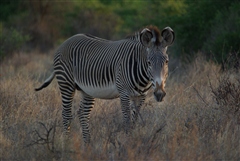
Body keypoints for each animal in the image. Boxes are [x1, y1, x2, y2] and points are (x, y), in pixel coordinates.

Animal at [35, 25, 174, 143]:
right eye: (149, 62)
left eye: (167, 61)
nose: (160, 94)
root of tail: (66, 41)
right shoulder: (124, 93)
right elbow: (127, 122)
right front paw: (127, 146)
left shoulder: (141, 96)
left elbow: (134, 122)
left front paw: (132, 144)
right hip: (66, 83)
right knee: (66, 114)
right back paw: (67, 144)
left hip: (87, 90)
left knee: (83, 114)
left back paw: (87, 145)